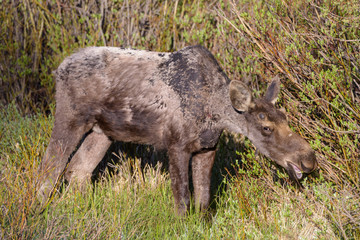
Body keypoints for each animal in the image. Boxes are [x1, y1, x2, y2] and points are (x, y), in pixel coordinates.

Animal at [38, 45, 316, 216]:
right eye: (266, 127)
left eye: (286, 118)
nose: (309, 159)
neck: (214, 113)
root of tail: (58, 68)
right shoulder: (176, 145)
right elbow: (182, 200)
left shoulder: (207, 148)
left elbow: (203, 201)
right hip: (70, 117)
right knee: (49, 168)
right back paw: (39, 209)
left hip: (103, 132)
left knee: (77, 171)